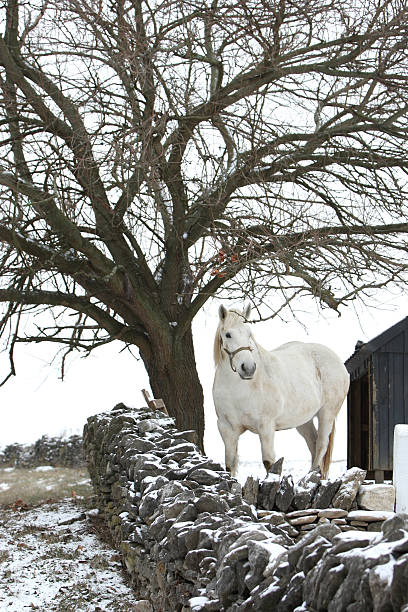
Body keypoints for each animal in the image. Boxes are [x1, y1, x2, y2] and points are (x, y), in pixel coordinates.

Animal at [212, 304, 350, 478]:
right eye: (228, 335)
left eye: (249, 333)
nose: (248, 368)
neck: (237, 389)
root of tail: (338, 362)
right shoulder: (226, 429)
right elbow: (229, 465)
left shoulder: (266, 427)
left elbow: (269, 462)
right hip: (304, 421)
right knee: (313, 443)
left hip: (327, 413)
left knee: (321, 445)